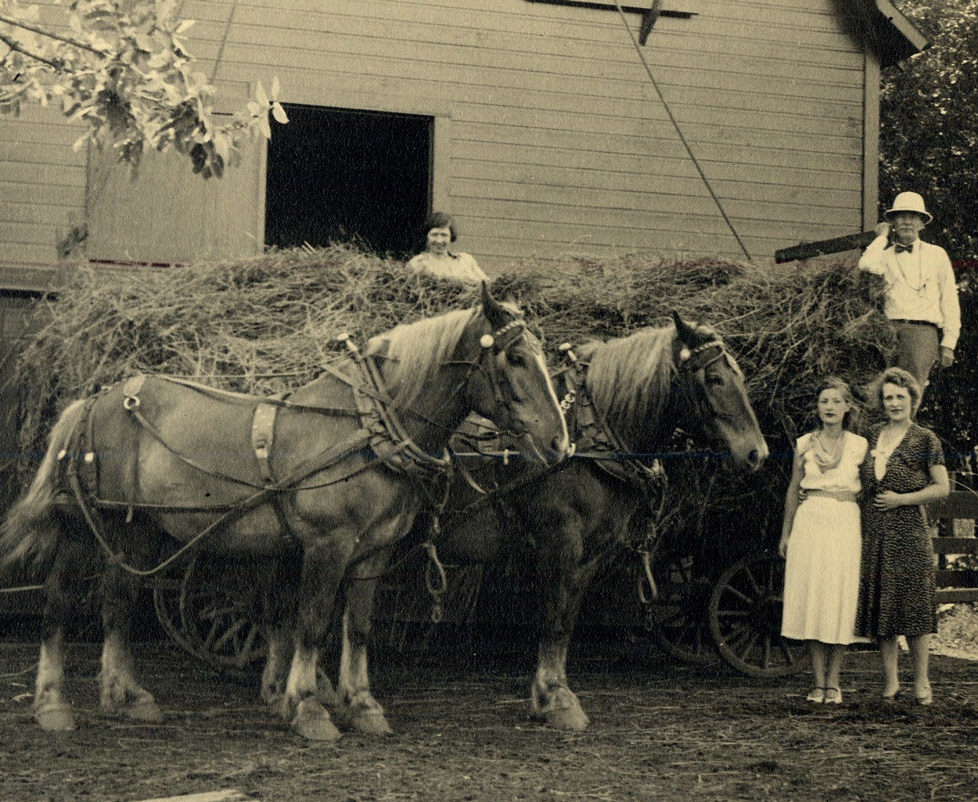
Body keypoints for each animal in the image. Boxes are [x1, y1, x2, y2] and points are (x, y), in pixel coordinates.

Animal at [1, 286, 564, 736]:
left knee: (116, 603)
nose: (561, 442)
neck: (365, 429)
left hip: (135, 531)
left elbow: (357, 627)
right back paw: (52, 704)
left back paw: (127, 697)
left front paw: (363, 706)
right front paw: (308, 708)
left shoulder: (372, 554)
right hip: (84, 528)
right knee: (59, 603)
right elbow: (310, 623)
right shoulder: (326, 545)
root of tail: (93, 401)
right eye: (515, 358)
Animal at [430, 310, 768, 728]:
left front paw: (553, 694)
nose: (757, 452)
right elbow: (553, 619)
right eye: (716, 379)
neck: (587, 444)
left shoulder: (589, 553)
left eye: (738, 375)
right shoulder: (559, 541)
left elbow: (568, 618)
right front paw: (554, 698)